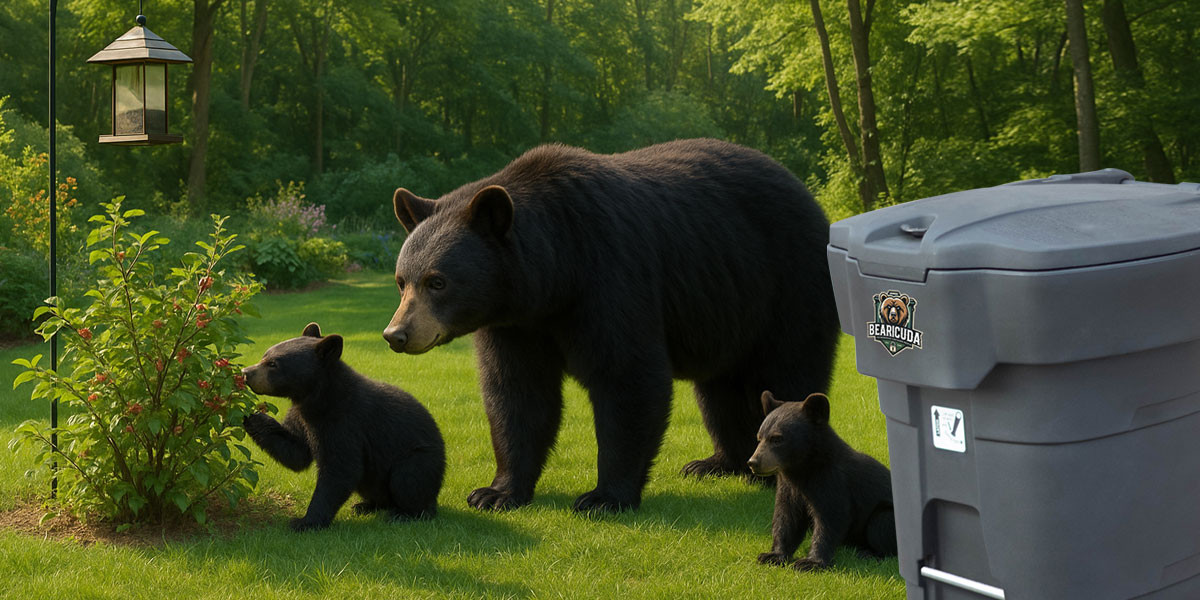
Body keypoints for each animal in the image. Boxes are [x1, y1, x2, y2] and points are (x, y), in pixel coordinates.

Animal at [242, 322, 446, 531]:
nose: (245, 373)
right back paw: (367, 505)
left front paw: (306, 522)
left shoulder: (344, 423)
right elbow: (295, 451)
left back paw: (406, 513)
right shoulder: (302, 417)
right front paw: (250, 415)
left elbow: (340, 469)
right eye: (264, 355)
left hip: (420, 459)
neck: (320, 399)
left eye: (273, 364)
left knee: (409, 478)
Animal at [383, 138, 840, 513]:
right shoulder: (516, 324)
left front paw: (604, 497)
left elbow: (627, 377)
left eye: (437, 281)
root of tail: (812, 201)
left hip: (791, 289)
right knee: (718, 389)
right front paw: (496, 492)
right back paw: (716, 463)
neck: (555, 274)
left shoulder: (611, 277)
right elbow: (517, 392)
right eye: (402, 280)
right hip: (726, 309)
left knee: (788, 370)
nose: (396, 335)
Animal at [748, 391, 896, 571]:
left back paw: (870, 553)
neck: (803, 470)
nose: (753, 462)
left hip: (887, 514)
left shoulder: (833, 481)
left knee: (880, 524)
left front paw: (811, 562)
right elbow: (786, 518)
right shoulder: (788, 487)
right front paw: (773, 555)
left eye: (777, 439)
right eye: (759, 437)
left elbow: (831, 518)